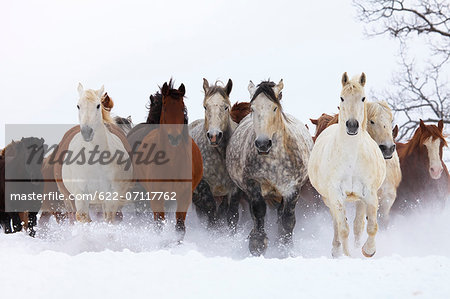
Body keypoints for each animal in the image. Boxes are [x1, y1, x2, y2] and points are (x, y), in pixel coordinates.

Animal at [134, 79, 203, 239]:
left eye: (182, 108)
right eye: (165, 109)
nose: (174, 137)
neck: (172, 164)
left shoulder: (184, 196)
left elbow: (180, 227)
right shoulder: (156, 195)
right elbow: (159, 225)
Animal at [187, 78, 250, 231]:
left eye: (226, 107)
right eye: (205, 107)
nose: (214, 136)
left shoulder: (233, 190)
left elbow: (231, 216)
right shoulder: (204, 188)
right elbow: (212, 217)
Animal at [225, 79, 312, 255]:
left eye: (274, 107)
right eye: (253, 108)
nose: (263, 144)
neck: (273, 162)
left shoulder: (292, 189)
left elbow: (288, 220)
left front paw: (284, 247)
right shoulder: (253, 185)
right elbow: (258, 212)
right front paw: (257, 244)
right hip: (236, 188)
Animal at [308, 73, 384, 258]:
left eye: (363, 98)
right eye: (342, 98)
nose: (352, 125)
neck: (351, 159)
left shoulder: (370, 194)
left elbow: (371, 226)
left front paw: (368, 251)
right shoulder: (335, 195)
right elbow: (343, 229)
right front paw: (347, 255)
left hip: (359, 200)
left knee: (358, 225)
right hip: (329, 199)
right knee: (337, 223)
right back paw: (336, 249)